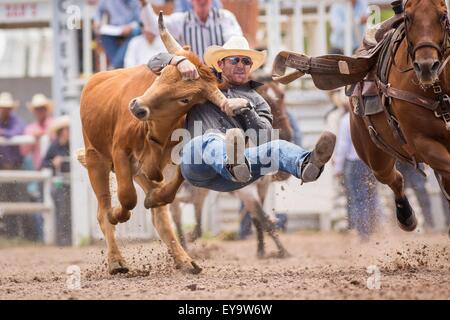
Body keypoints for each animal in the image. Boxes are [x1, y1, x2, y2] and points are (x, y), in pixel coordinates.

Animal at [352, 0, 450, 232]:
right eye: (408, 17)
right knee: (394, 178)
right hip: (375, 156)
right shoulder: (424, 144)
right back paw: (406, 216)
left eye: (443, 16)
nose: (426, 66)